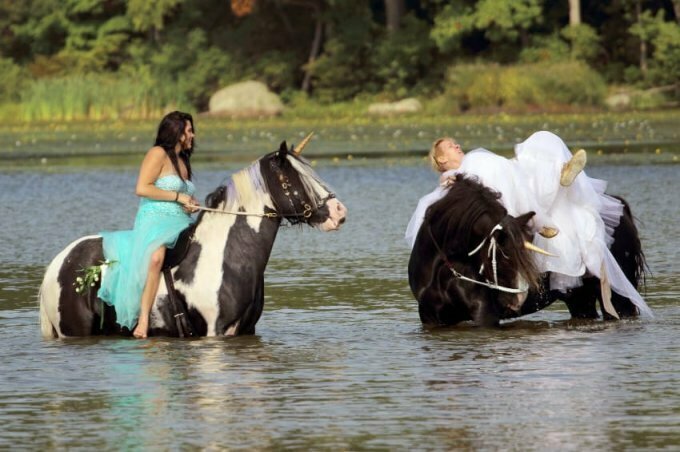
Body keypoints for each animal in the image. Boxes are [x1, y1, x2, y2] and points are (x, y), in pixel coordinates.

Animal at [39, 139, 346, 338]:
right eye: (291, 180)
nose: (338, 212)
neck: (224, 257)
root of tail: (60, 261)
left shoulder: (246, 331)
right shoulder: (215, 331)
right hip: (74, 331)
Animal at [406, 175, 644, 326]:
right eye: (502, 256)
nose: (516, 301)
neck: (443, 268)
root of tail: (620, 208)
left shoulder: (485, 315)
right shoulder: (430, 317)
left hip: (619, 298)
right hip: (580, 299)